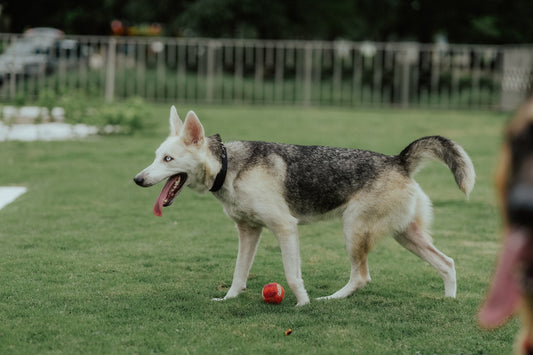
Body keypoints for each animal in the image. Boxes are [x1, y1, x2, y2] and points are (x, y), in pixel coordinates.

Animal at [133, 105, 474, 306]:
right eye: (156, 156)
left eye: (168, 159)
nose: (137, 179)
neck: (230, 167)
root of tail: (399, 160)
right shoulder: (248, 231)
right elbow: (239, 274)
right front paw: (229, 299)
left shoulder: (285, 228)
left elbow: (292, 274)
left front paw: (302, 304)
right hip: (404, 235)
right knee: (447, 263)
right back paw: (449, 301)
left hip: (354, 229)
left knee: (361, 277)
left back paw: (331, 299)